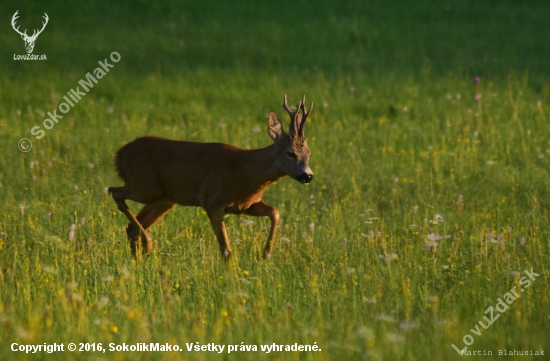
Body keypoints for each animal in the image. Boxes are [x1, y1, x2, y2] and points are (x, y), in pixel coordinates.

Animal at [109, 95, 314, 258]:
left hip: (164, 199)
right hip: (146, 186)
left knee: (132, 228)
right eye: (290, 153)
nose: (308, 176)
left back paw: (139, 258)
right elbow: (226, 250)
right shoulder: (213, 202)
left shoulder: (246, 204)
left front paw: (266, 253)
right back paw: (148, 244)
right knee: (114, 192)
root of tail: (119, 155)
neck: (244, 171)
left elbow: (275, 212)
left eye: (309, 153)